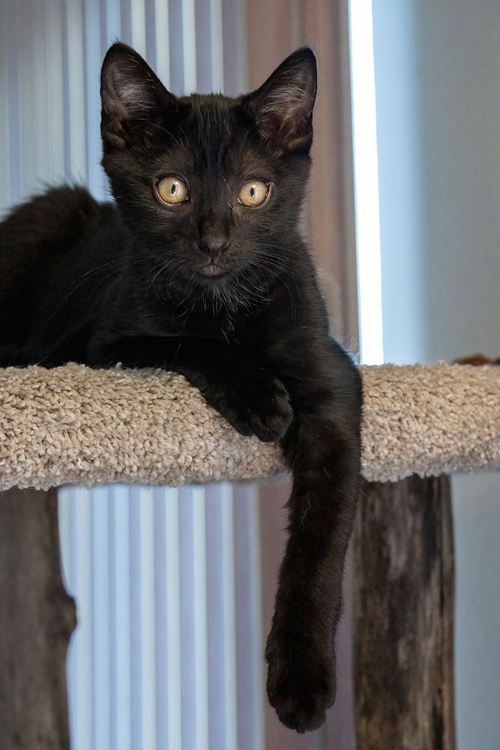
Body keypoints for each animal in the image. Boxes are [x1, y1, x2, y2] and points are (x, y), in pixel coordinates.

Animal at [0, 42, 362, 736]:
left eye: (253, 191)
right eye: (172, 190)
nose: (214, 242)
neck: (224, 307)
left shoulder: (331, 382)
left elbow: (321, 541)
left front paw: (302, 678)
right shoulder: (108, 341)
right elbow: (189, 344)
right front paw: (261, 399)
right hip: (53, 213)